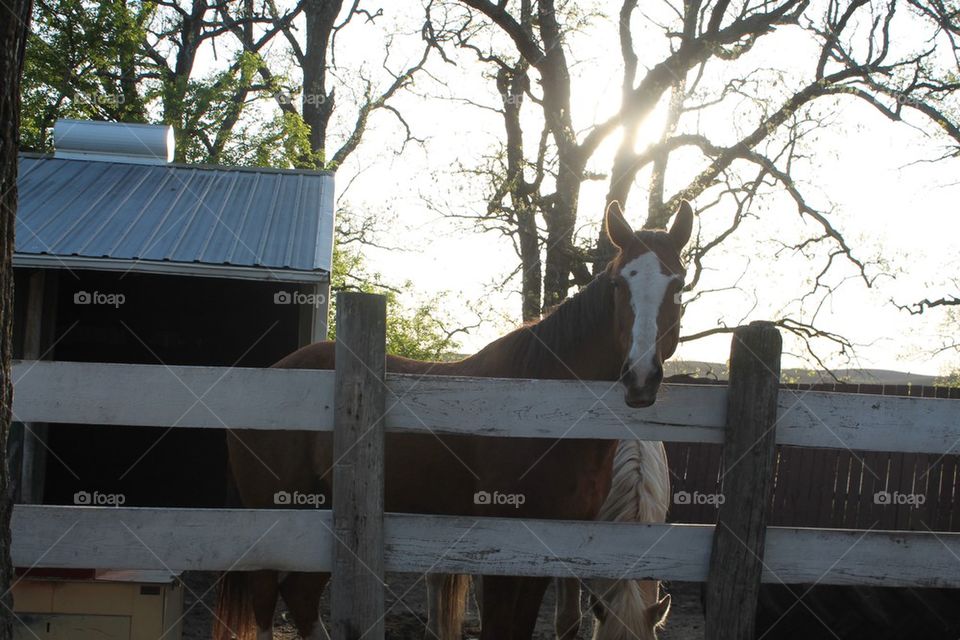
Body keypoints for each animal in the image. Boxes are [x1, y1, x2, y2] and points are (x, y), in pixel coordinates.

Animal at [214, 200, 693, 640]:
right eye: (617, 283)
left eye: (679, 284)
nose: (640, 378)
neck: (541, 409)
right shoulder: (503, 549)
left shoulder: (548, 549)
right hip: (275, 516)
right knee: (266, 598)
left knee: (300, 595)